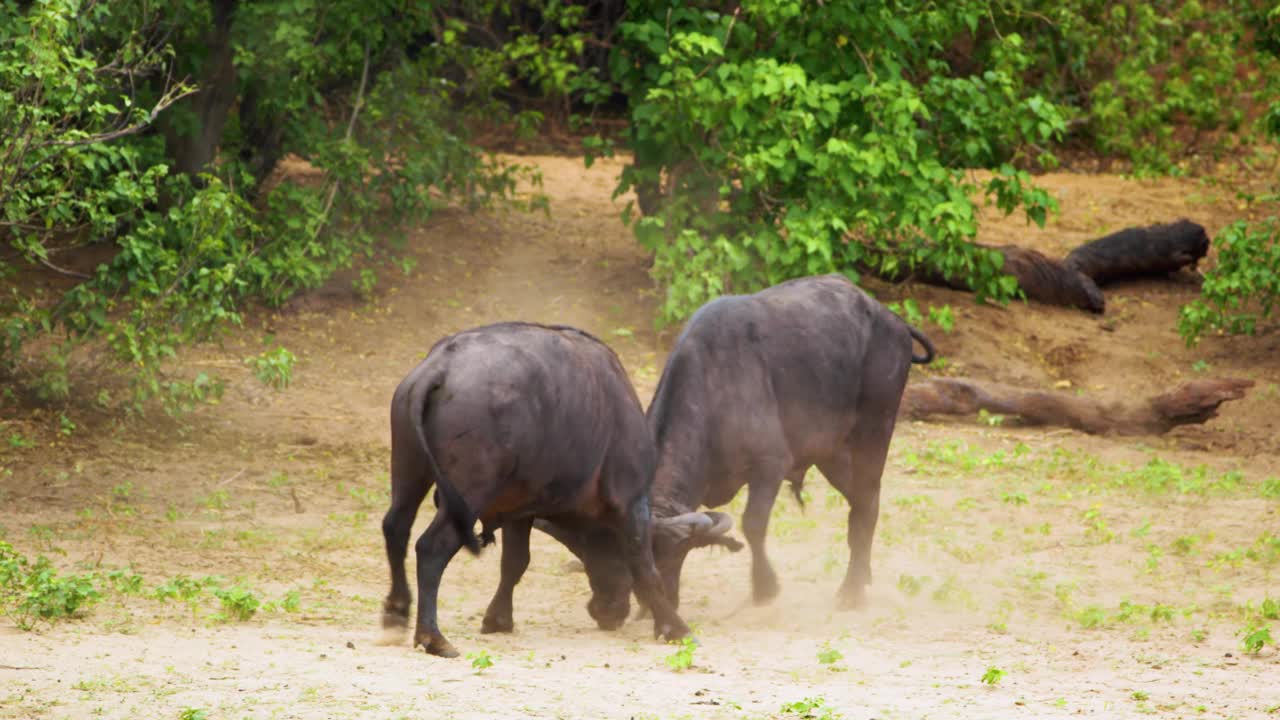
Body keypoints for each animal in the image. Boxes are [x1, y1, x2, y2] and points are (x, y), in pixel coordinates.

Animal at [378, 319, 737, 655]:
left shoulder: (518, 510)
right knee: (431, 546)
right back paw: (432, 637)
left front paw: (498, 619)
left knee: (396, 527)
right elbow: (643, 564)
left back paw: (396, 613)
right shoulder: (631, 501)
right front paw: (675, 627)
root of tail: (439, 367)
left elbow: (515, 563)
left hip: (409, 471)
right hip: (467, 495)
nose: (607, 612)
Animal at [535, 274, 936, 609]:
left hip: (874, 432)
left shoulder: (770, 466)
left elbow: (753, 524)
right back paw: (861, 577)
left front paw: (765, 587)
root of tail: (893, 321)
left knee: (867, 502)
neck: (714, 391)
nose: (657, 601)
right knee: (860, 505)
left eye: (672, 554)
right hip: (832, 454)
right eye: (633, 559)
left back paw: (851, 591)